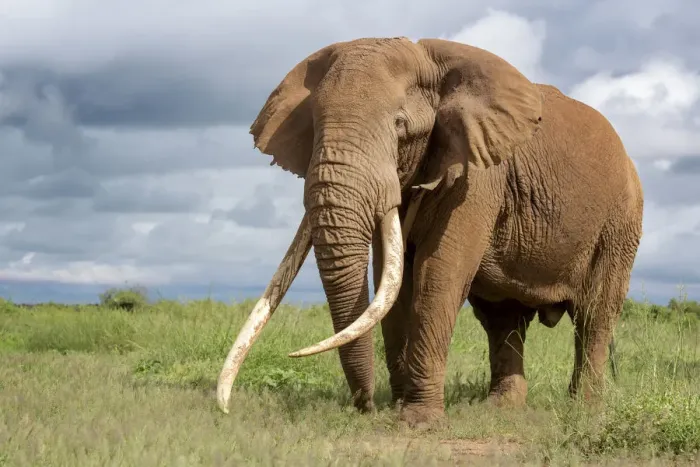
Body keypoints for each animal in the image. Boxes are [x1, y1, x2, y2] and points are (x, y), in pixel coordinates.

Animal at [216, 37, 643, 428]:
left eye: (400, 126)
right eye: (315, 127)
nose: (367, 408)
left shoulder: (479, 176)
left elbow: (437, 272)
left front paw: (417, 422)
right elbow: (392, 279)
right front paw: (400, 406)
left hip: (621, 224)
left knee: (594, 314)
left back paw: (584, 411)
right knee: (503, 320)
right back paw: (501, 409)